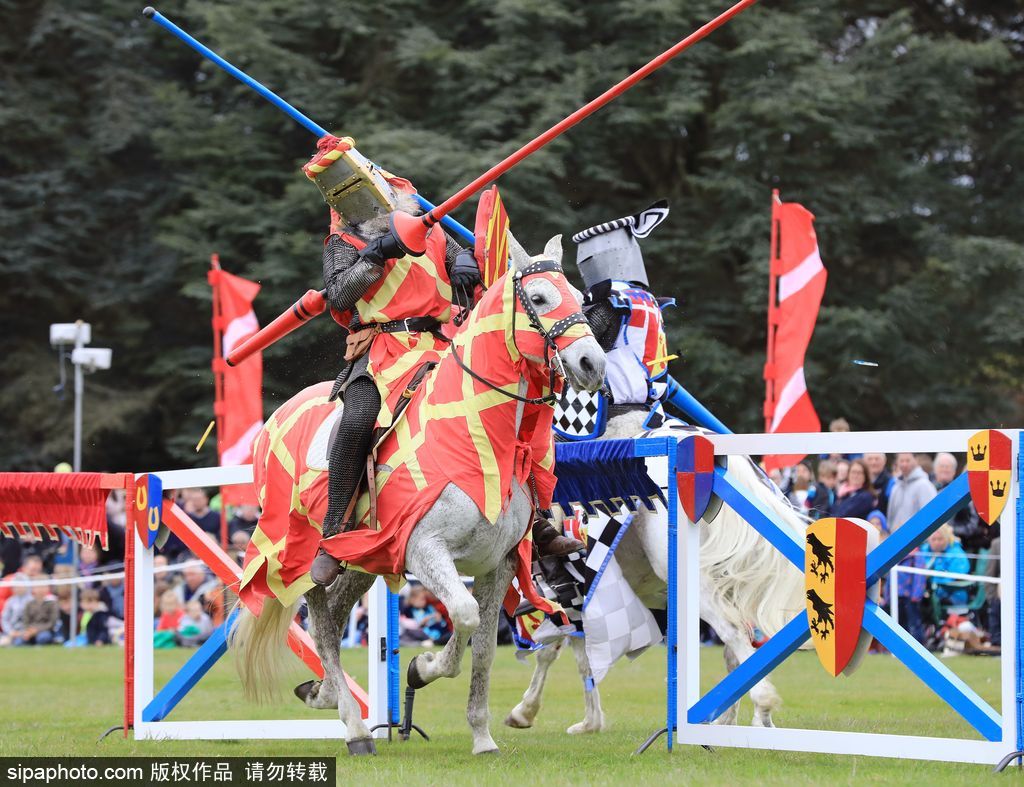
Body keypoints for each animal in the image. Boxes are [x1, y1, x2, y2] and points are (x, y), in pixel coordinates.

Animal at [228, 235, 602, 753]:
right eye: (540, 297)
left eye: (579, 297)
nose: (593, 364)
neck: (476, 435)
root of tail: (275, 420)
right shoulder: (423, 549)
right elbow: (464, 616)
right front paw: (422, 668)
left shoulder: (500, 564)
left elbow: (482, 647)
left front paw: (481, 735)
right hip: (303, 552)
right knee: (322, 622)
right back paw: (355, 727)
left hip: (363, 560)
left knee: (337, 616)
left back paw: (325, 694)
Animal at [503, 411, 806, 728]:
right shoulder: (580, 600)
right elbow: (581, 657)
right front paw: (590, 722)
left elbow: (551, 652)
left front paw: (525, 711)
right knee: (739, 650)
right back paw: (739, 720)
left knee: (732, 632)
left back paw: (761, 705)